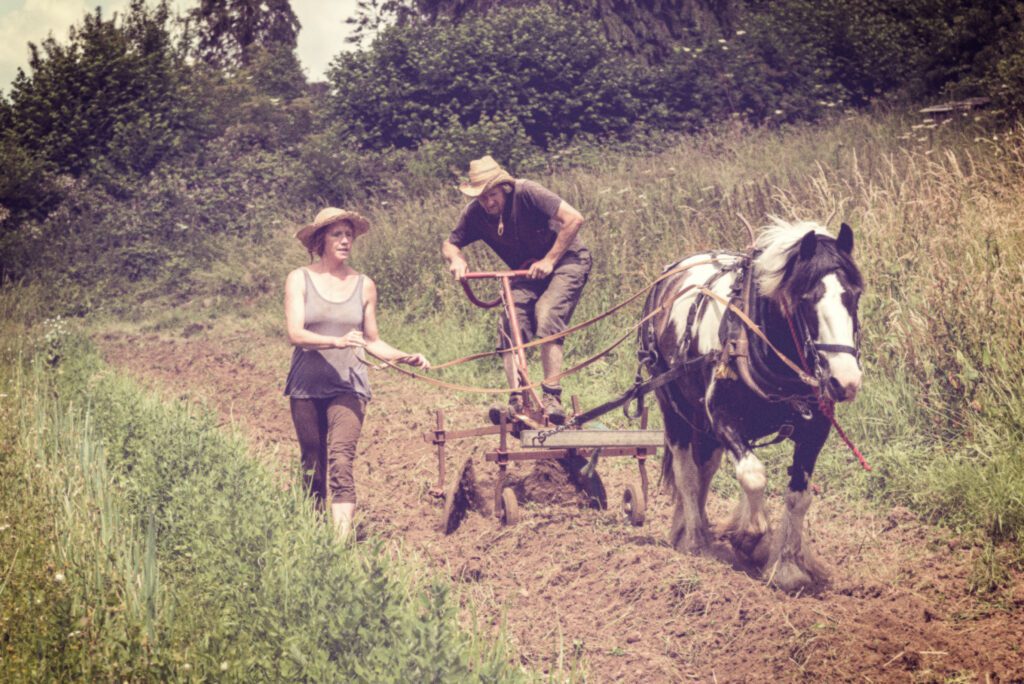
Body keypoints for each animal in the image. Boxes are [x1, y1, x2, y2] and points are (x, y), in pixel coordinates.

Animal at [643, 219, 860, 593]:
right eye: (806, 299)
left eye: (854, 295)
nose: (845, 381)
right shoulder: (722, 417)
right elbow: (754, 476)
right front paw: (752, 537)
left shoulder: (815, 429)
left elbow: (799, 496)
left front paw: (787, 567)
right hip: (672, 405)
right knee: (686, 470)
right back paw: (694, 538)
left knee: (705, 467)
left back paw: (691, 526)